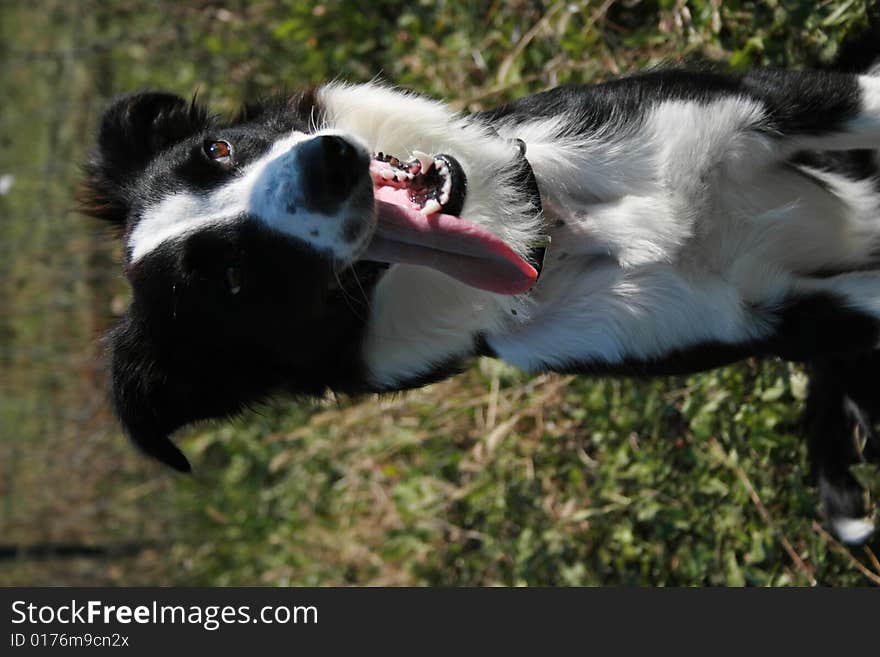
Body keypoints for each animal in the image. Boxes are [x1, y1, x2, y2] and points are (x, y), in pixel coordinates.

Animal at [81, 62, 880, 544]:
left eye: (216, 150)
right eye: (235, 278)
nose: (328, 164)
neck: (554, 230)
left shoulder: (765, 108)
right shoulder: (790, 314)